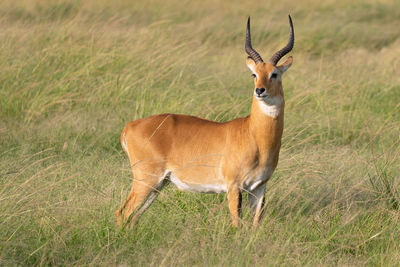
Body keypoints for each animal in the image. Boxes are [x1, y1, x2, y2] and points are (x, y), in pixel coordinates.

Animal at [115, 15, 294, 228]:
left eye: (274, 73)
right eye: (254, 74)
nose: (259, 90)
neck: (255, 135)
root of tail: (129, 126)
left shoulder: (259, 188)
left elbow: (255, 225)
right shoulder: (234, 186)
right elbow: (237, 224)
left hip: (158, 184)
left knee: (134, 217)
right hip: (146, 180)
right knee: (123, 212)